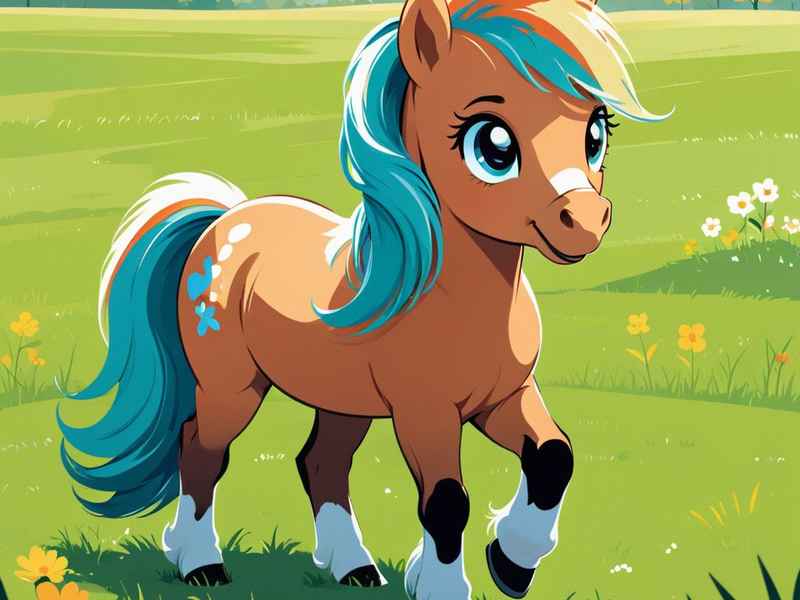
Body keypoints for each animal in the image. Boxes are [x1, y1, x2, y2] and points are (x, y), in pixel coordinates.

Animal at [58, 0, 663, 597]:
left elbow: (553, 458)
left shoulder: (503, 397)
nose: (585, 221)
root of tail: (225, 218)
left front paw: (510, 562)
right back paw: (199, 563)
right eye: (492, 143)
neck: (457, 300)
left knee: (320, 464)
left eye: (595, 133)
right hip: (232, 387)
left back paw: (353, 568)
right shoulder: (424, 412)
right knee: (202, 452)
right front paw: (444, 585)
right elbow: (446, 501)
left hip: (341, 399)